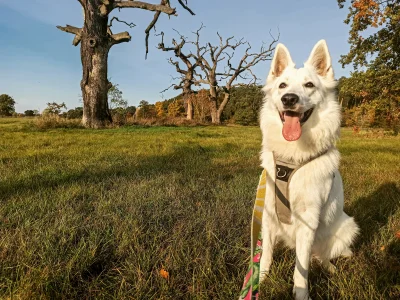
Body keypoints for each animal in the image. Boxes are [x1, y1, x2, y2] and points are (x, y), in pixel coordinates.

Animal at [260, 40, 360, 300]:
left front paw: (301, 293)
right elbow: (265, 256)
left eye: (309, 85)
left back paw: (330, 267)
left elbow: (301, 269)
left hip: (347, 226)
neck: (292, 159)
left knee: (319, 256)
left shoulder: (307, 220)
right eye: (282, 85)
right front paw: (258, 282)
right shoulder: (267, 214)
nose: (289, 98)